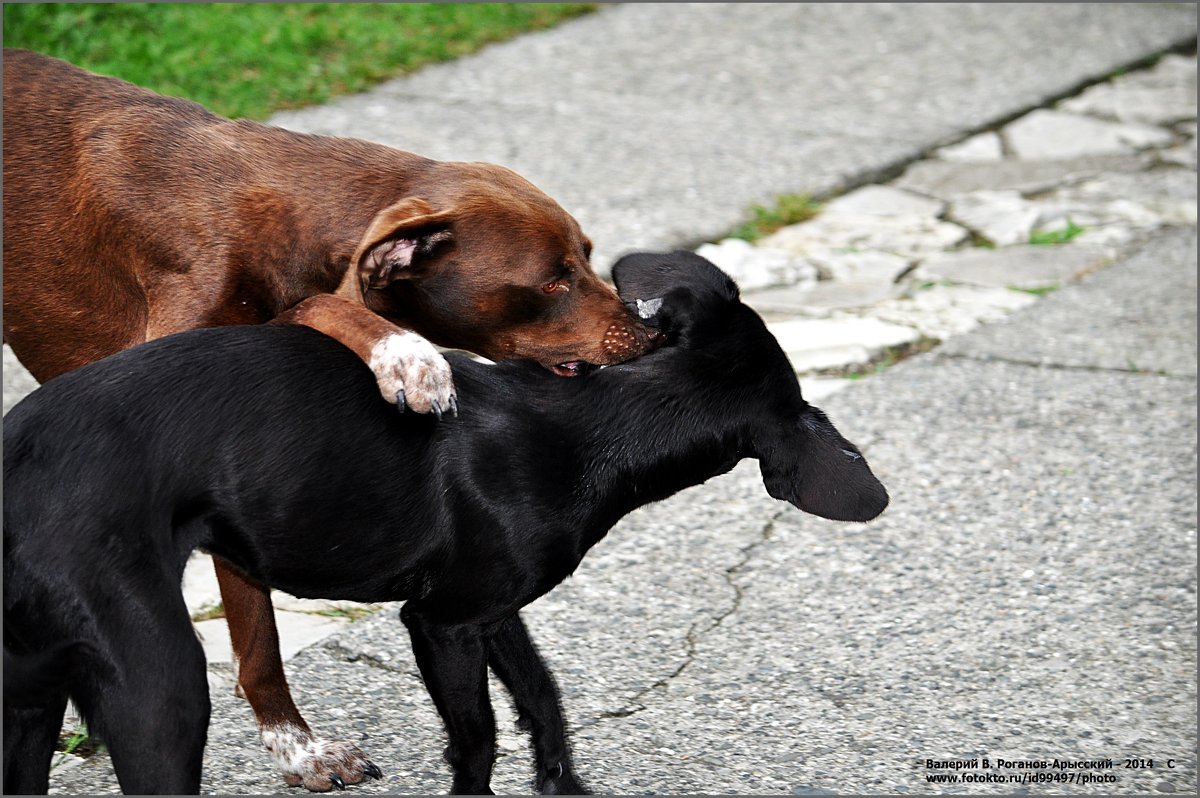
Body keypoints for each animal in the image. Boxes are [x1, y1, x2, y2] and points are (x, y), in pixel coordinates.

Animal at [0, 49, 657, 792]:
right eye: (551, 282)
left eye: (588, 256)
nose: (650, 330)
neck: (274, 207)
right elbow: (322, 304)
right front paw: (405, 354)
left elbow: (258, 632)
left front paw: (297, 748)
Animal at [4, 252, 888, 792]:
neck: (598, 422)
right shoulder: (440, 623)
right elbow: (479, 737)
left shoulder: (490, 614)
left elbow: (542, 699)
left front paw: (562, 784)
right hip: (160, 689)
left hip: (31, 694)